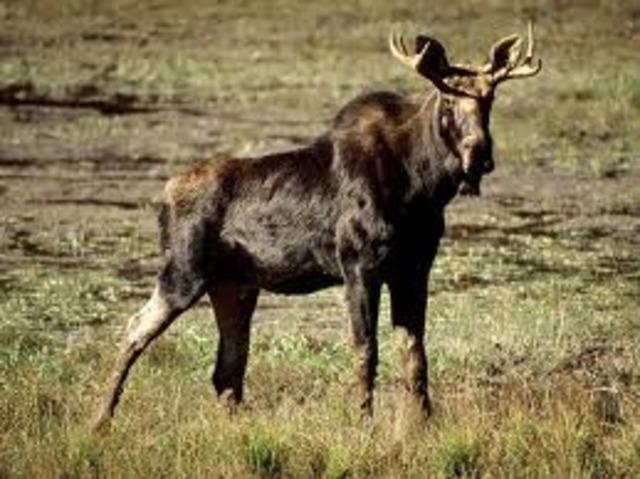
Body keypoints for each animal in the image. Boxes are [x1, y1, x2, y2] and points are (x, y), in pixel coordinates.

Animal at [92, 23, 541, 431]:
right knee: (135, 329)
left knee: (227, 367)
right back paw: (99, 421)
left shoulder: (414, 268)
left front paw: (425, 424)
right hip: (184, 272)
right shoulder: (358, 265)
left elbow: (415, 352)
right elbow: (366, 349)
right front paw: (364, 422)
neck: (423, 186)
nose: (478, 154)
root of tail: (164, 195)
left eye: (491, 98)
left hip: (234, 285)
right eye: (448, 98)